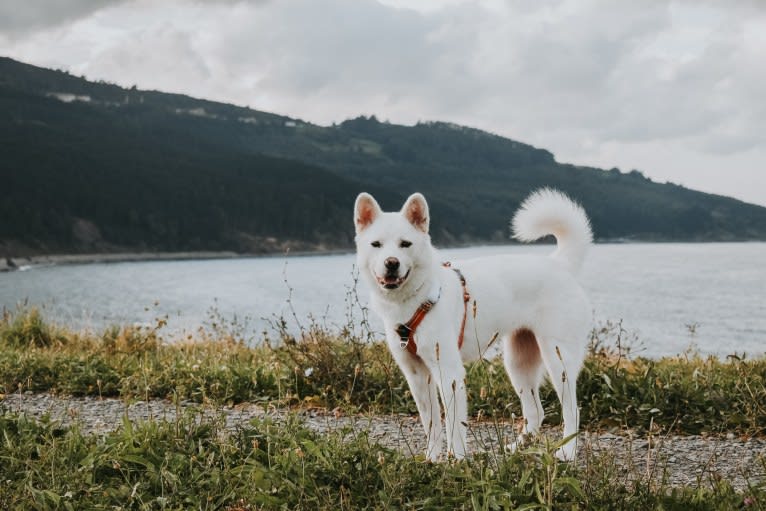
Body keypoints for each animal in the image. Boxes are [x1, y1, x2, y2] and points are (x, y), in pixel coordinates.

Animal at [354, 190, 592, 462]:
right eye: (376, 245)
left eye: (405, 244)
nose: (391, 263)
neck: (418, 298)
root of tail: (559, 264)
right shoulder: (417, 376)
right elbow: (432, 424)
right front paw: (432, 459)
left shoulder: (449, 373)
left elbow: (454, 426)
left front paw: (456, 460)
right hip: (518, 363)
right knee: (536, 412)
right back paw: (518, 449)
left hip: (558, 359)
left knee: (572, 410)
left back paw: (567, 452)